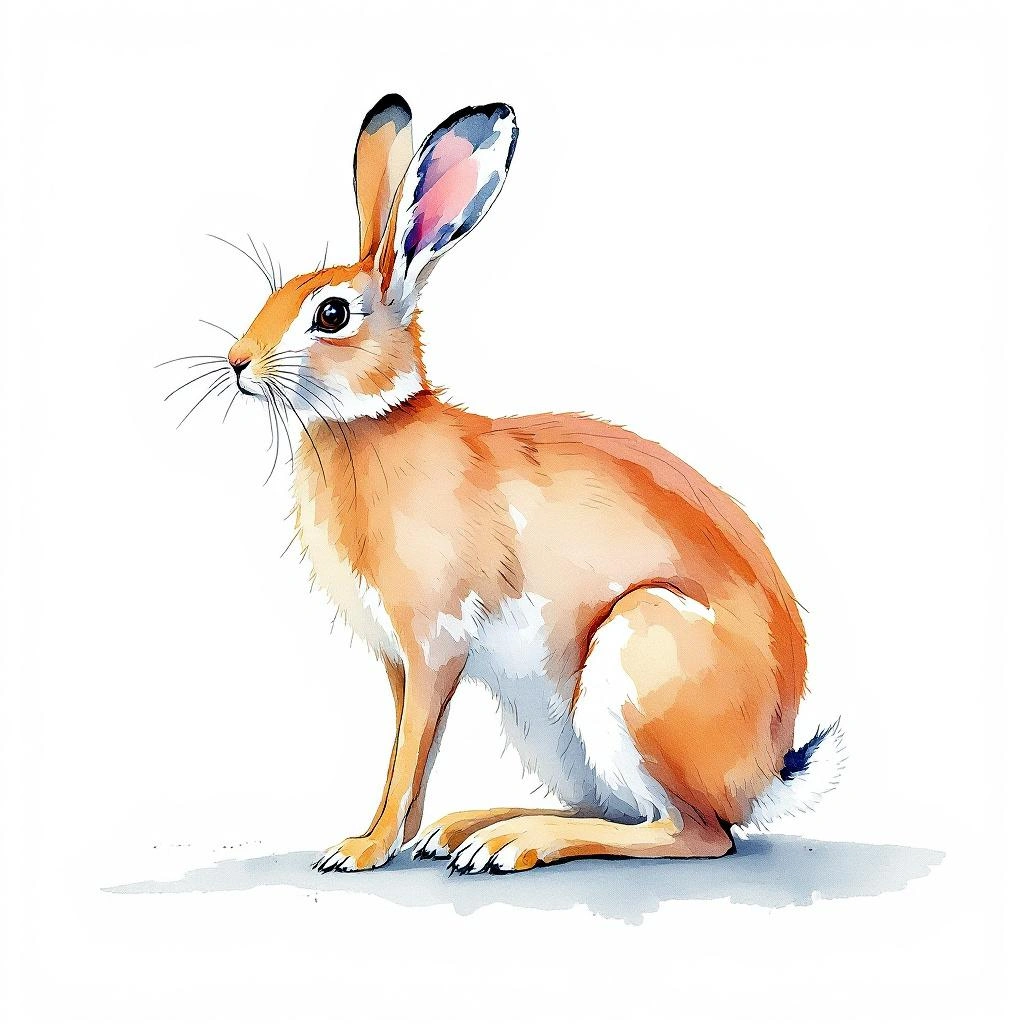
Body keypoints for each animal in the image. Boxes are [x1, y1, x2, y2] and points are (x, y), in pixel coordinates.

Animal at [208, 94, 843, 874]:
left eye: (330, 313)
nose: (237, 361)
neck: (373, 423)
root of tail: (764, 773)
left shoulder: (434, 644)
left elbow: (411, 750)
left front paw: (362, 852)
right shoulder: (399, 663)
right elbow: (403, 756)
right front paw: (380, 837)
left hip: (633, 662)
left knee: (694, 833)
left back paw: (512, 843)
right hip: (551, 729)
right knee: (624, 810)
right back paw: (471, 830)